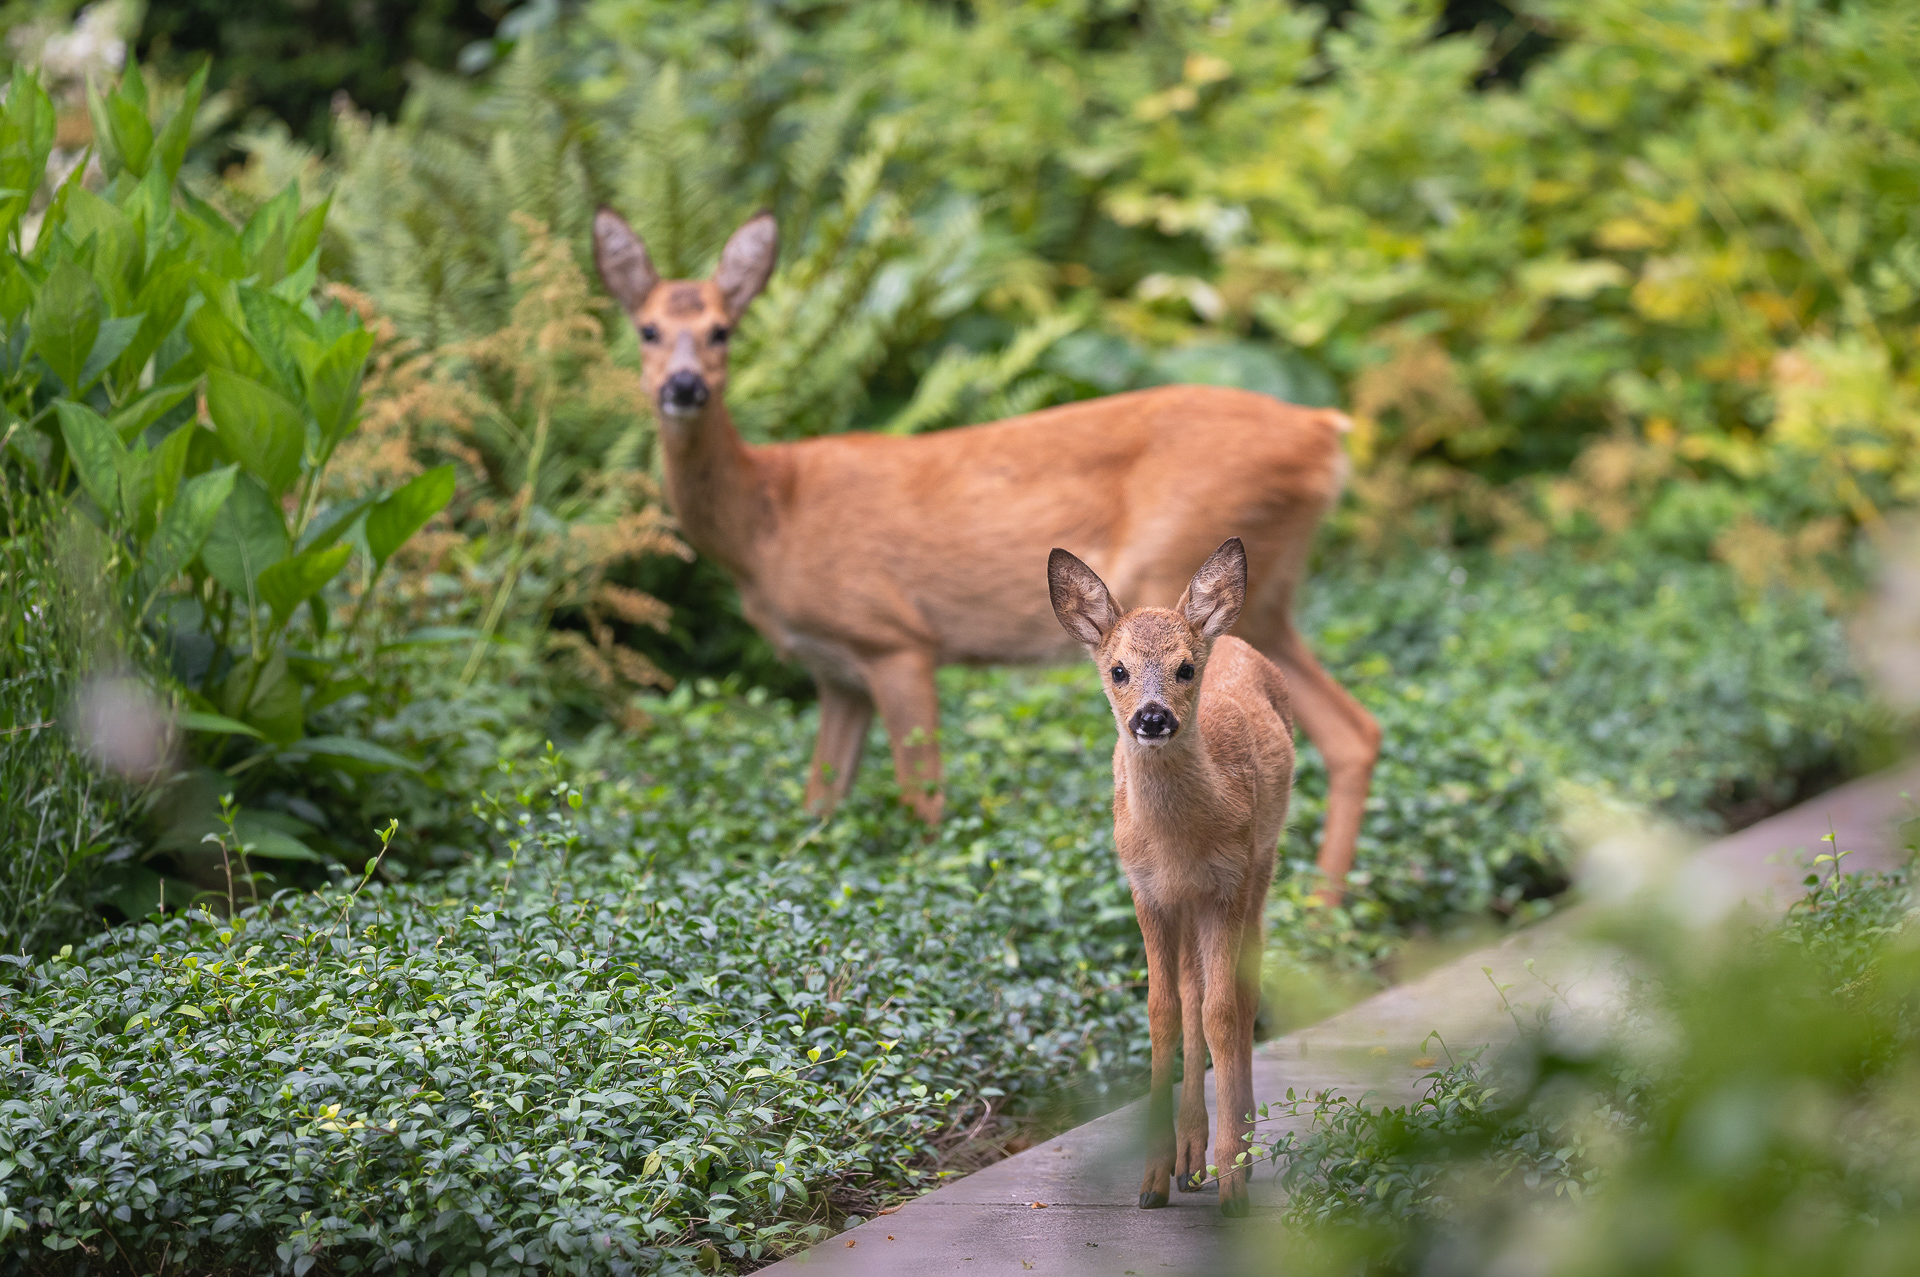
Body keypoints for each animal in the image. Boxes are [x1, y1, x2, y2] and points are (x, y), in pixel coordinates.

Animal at [587, 204, 1382, 891]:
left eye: (722, 330)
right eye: (646, 330)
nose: (684, 386)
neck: (767, 519)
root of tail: (1324, 431)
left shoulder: (895, 636)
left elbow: (925, 797)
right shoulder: (837, 673)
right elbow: (820, 801)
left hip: (1186, 569)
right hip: (1264, 598)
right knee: (1354, 730)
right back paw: (1324, 908)